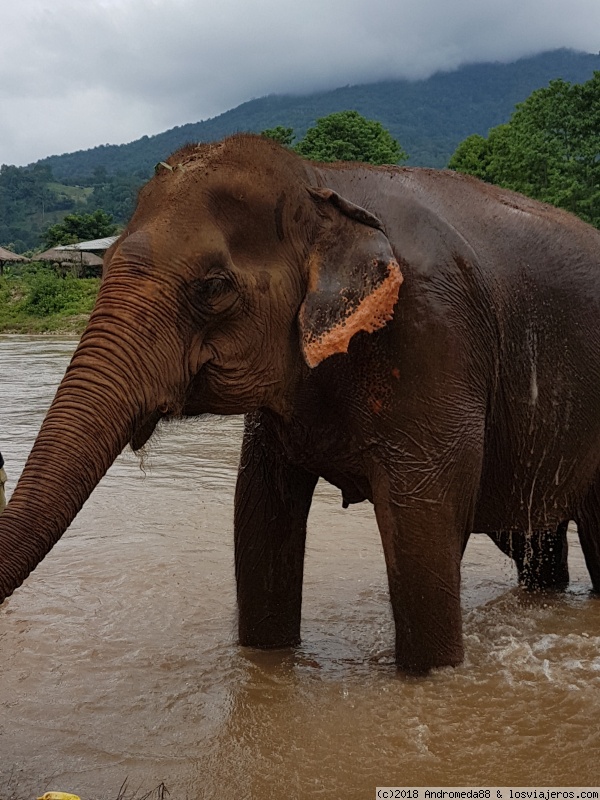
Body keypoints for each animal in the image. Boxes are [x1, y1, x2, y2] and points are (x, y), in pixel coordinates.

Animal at [1, 134, 600, 672]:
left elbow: (423, 532)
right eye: (102, 267)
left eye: (213, 287)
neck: (320, 180)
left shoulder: (435, 334)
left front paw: (432, 675)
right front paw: (267, 664)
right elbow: (260, 517)